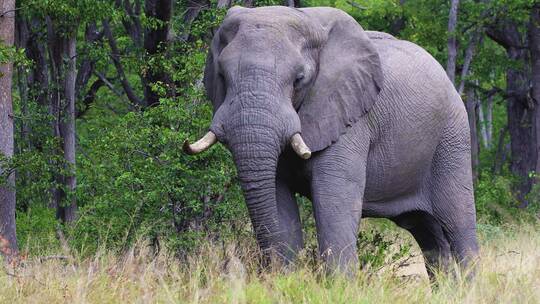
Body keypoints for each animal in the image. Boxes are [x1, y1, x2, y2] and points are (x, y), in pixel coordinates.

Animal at [184, 5, 478, 276]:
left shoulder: (350, 118)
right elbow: (278, 197)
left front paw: (339, 285)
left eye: (299, 79)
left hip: (452, 138)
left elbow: (334, 200)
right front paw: (285, 280)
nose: (264, 269)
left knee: (458, 223)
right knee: (428, 233)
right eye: (222, 76)